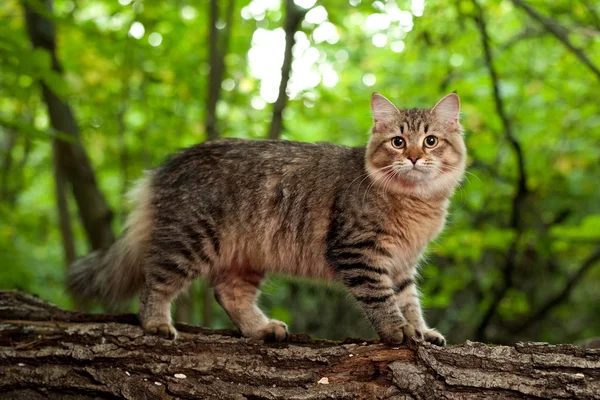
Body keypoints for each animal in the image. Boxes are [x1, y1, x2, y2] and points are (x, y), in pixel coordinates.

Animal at [68, 92, 466, 346]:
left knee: (228, 294)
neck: (416, 202)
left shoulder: (402, 263)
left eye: (431, 141)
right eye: (398, 142)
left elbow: (409, 301)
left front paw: (422, 332)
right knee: (155, 283)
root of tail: (164, 167)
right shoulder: (360, 252)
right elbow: (382, 299)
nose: (414, 157)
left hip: (246, 255)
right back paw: (156, 324)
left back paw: (260, 329)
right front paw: (398, 332)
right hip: (190, 240)